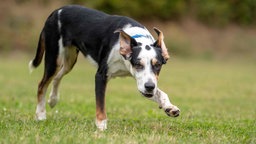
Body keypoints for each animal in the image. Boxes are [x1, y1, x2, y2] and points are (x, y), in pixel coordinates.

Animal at [29, 4, 180, 130]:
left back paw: (53, 99)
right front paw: (101, 126)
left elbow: (160, 93)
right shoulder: (101, 76)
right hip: (54, 58)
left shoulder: (142, 83)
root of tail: (56, 11)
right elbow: (100, 104)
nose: (149, 86)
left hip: (69, 61)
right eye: (138, 64)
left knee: (57, 77)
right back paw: (41, 114)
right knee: (42, 84)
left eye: (158, 65)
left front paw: (169, 107)